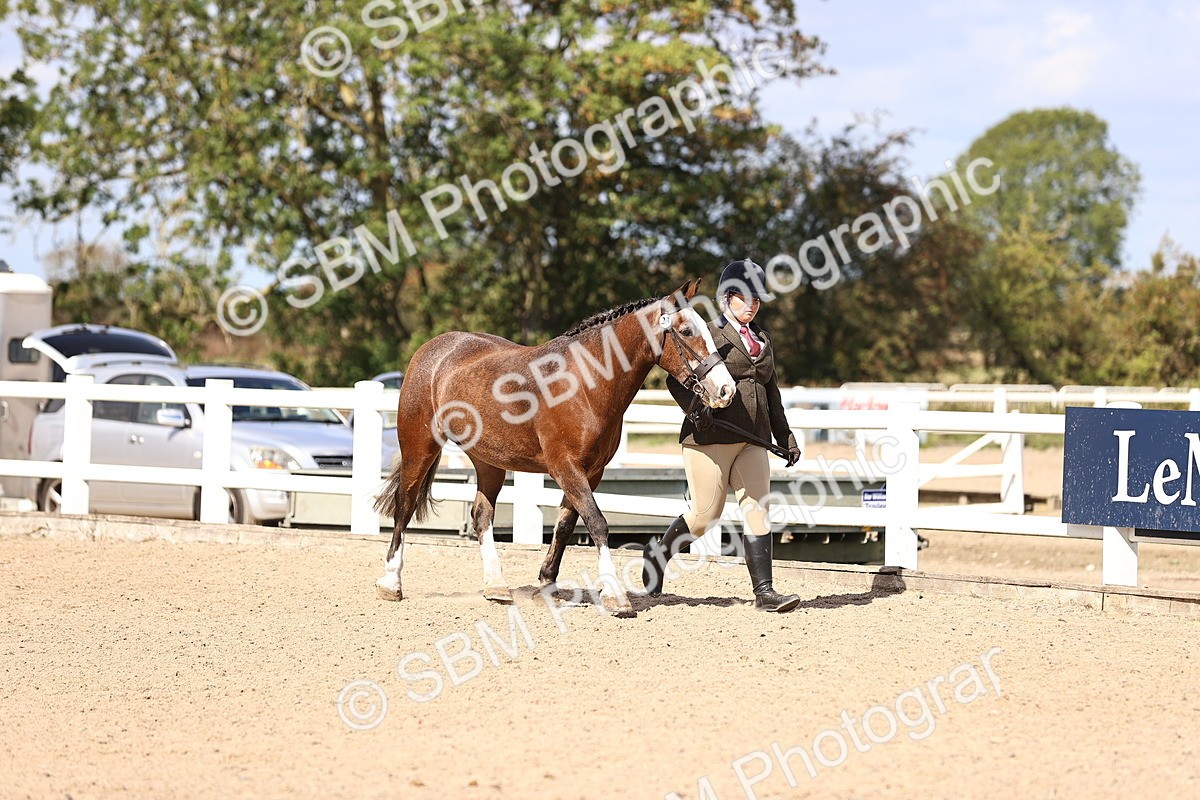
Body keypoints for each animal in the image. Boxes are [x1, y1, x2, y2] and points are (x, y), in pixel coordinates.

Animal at [374, 279, 736, 616]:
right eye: (687, 331)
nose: (726, 389)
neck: (585, 383)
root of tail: (433, 349)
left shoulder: (591, 472)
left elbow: (565, 525)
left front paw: (547, 584)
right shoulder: (565, 466)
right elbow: (597, 522)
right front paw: (615, 596)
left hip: (488, 461)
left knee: (481, 515)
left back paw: (496, 587)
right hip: (420, 448)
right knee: (404, 507)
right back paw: (391, 582)